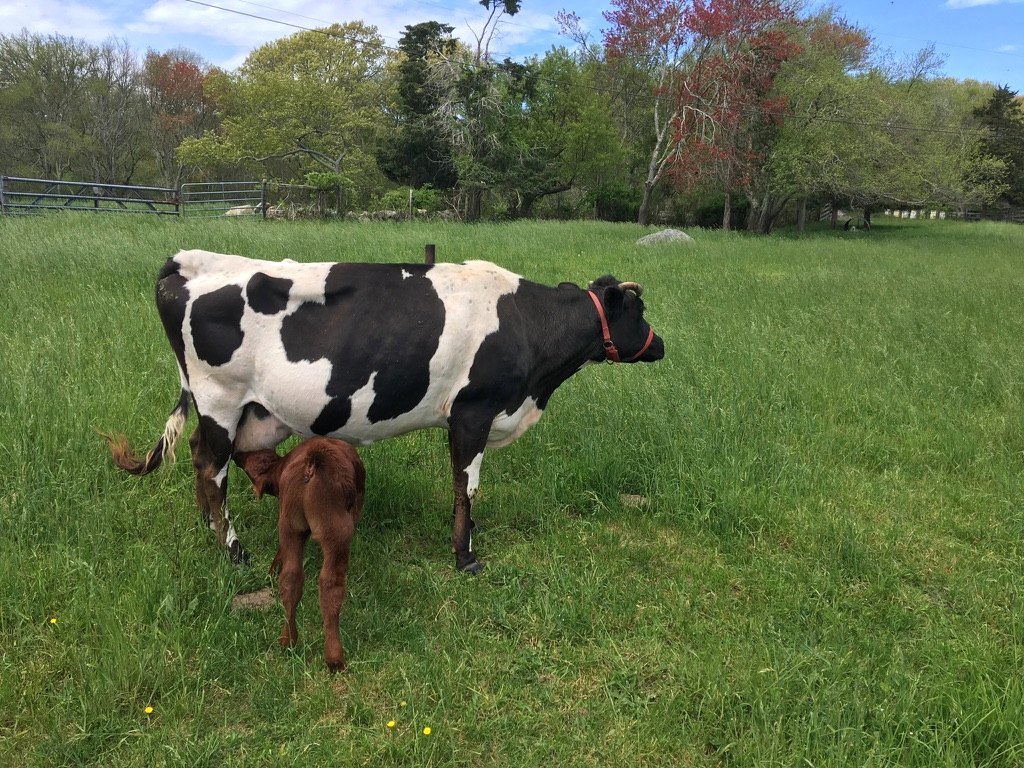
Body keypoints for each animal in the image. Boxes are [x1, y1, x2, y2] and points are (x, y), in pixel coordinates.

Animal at [106, 250, 664, 573]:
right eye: (638, 311)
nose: (660, 345)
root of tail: (188, 260)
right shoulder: (472, 410)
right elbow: (466, 486)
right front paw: (465, 556)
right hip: (220, 396)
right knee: (211, 464)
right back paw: (234, 549)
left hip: (258, 412)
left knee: (210, 453)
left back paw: (210, 524)